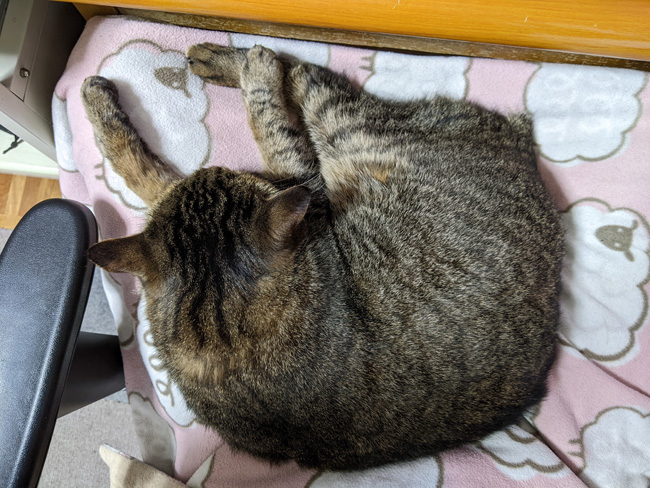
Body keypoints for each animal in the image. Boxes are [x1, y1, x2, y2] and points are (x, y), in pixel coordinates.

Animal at [81, 43, 564, 471]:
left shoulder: (285, 183)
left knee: (302, 76)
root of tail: (523, 147)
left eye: (222, 171)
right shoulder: (299, 182)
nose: (214, 168)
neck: (226, 341)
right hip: (349, 125)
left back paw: (222, 58)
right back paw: (239, 59)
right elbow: (241, 131)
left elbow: (146, 167)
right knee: (306, 76)